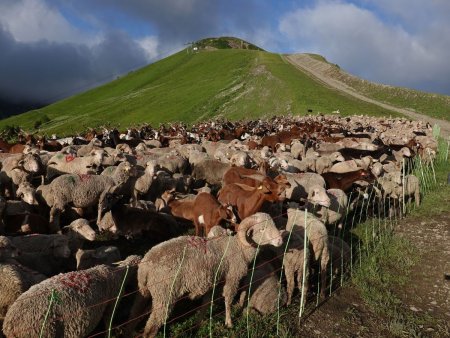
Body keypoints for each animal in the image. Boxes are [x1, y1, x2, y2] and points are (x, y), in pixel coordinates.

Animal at [125, 213, 284, 336]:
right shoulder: (232, 277)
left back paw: (130, 331)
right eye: (262, 229)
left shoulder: (215, 281)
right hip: (164, 294)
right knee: (151, 327)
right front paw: (229, 323)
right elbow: (228, 299)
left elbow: (207, 303)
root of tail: (146, 265)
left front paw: (198, 324)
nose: (280, 240)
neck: (240, 247)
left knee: (134, 314)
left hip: (145, 293)